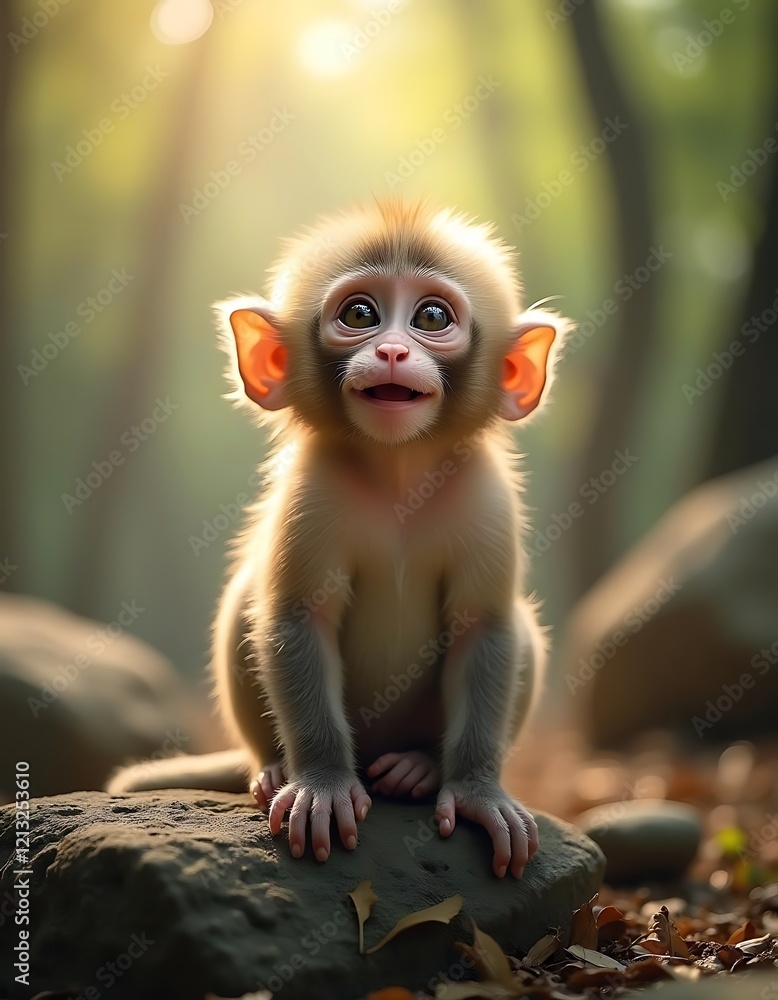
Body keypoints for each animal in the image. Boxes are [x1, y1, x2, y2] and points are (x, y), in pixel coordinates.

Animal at [107, 200, 569, 878]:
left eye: (432, 317)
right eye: (360, 315)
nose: (395, 352)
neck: (399, 470)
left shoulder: (486, 497)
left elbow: (484, 626)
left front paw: (478, 790)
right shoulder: (313, 489)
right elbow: (298, 617)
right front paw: (321, 783)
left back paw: (418, 765)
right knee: (247, 603)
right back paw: (274, 768)